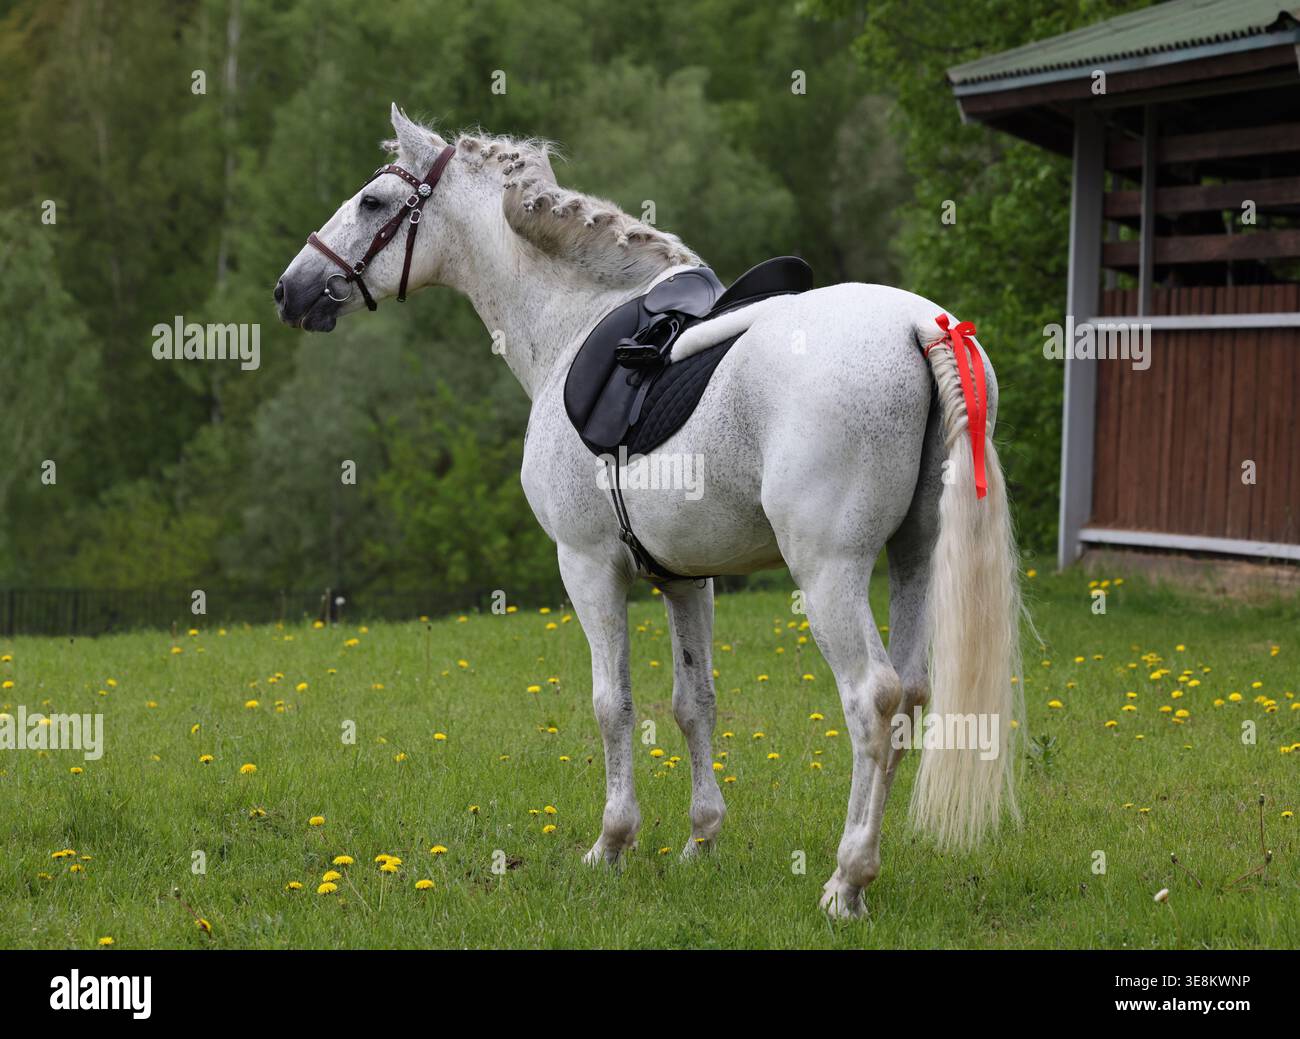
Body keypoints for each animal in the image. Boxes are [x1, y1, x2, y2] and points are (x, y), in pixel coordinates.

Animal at [274, 105, 1022, 918]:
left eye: (373, 202)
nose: (290, 289)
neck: (574, 325)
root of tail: (923, 326)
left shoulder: (588, 567)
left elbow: (614, 704)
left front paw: (612, 842)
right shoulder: (687, 580)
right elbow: (695, 702)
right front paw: (702, 839)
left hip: (829, 572)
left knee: (873, 701)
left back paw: (846, 879)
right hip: (915, 557)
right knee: (911, 695)